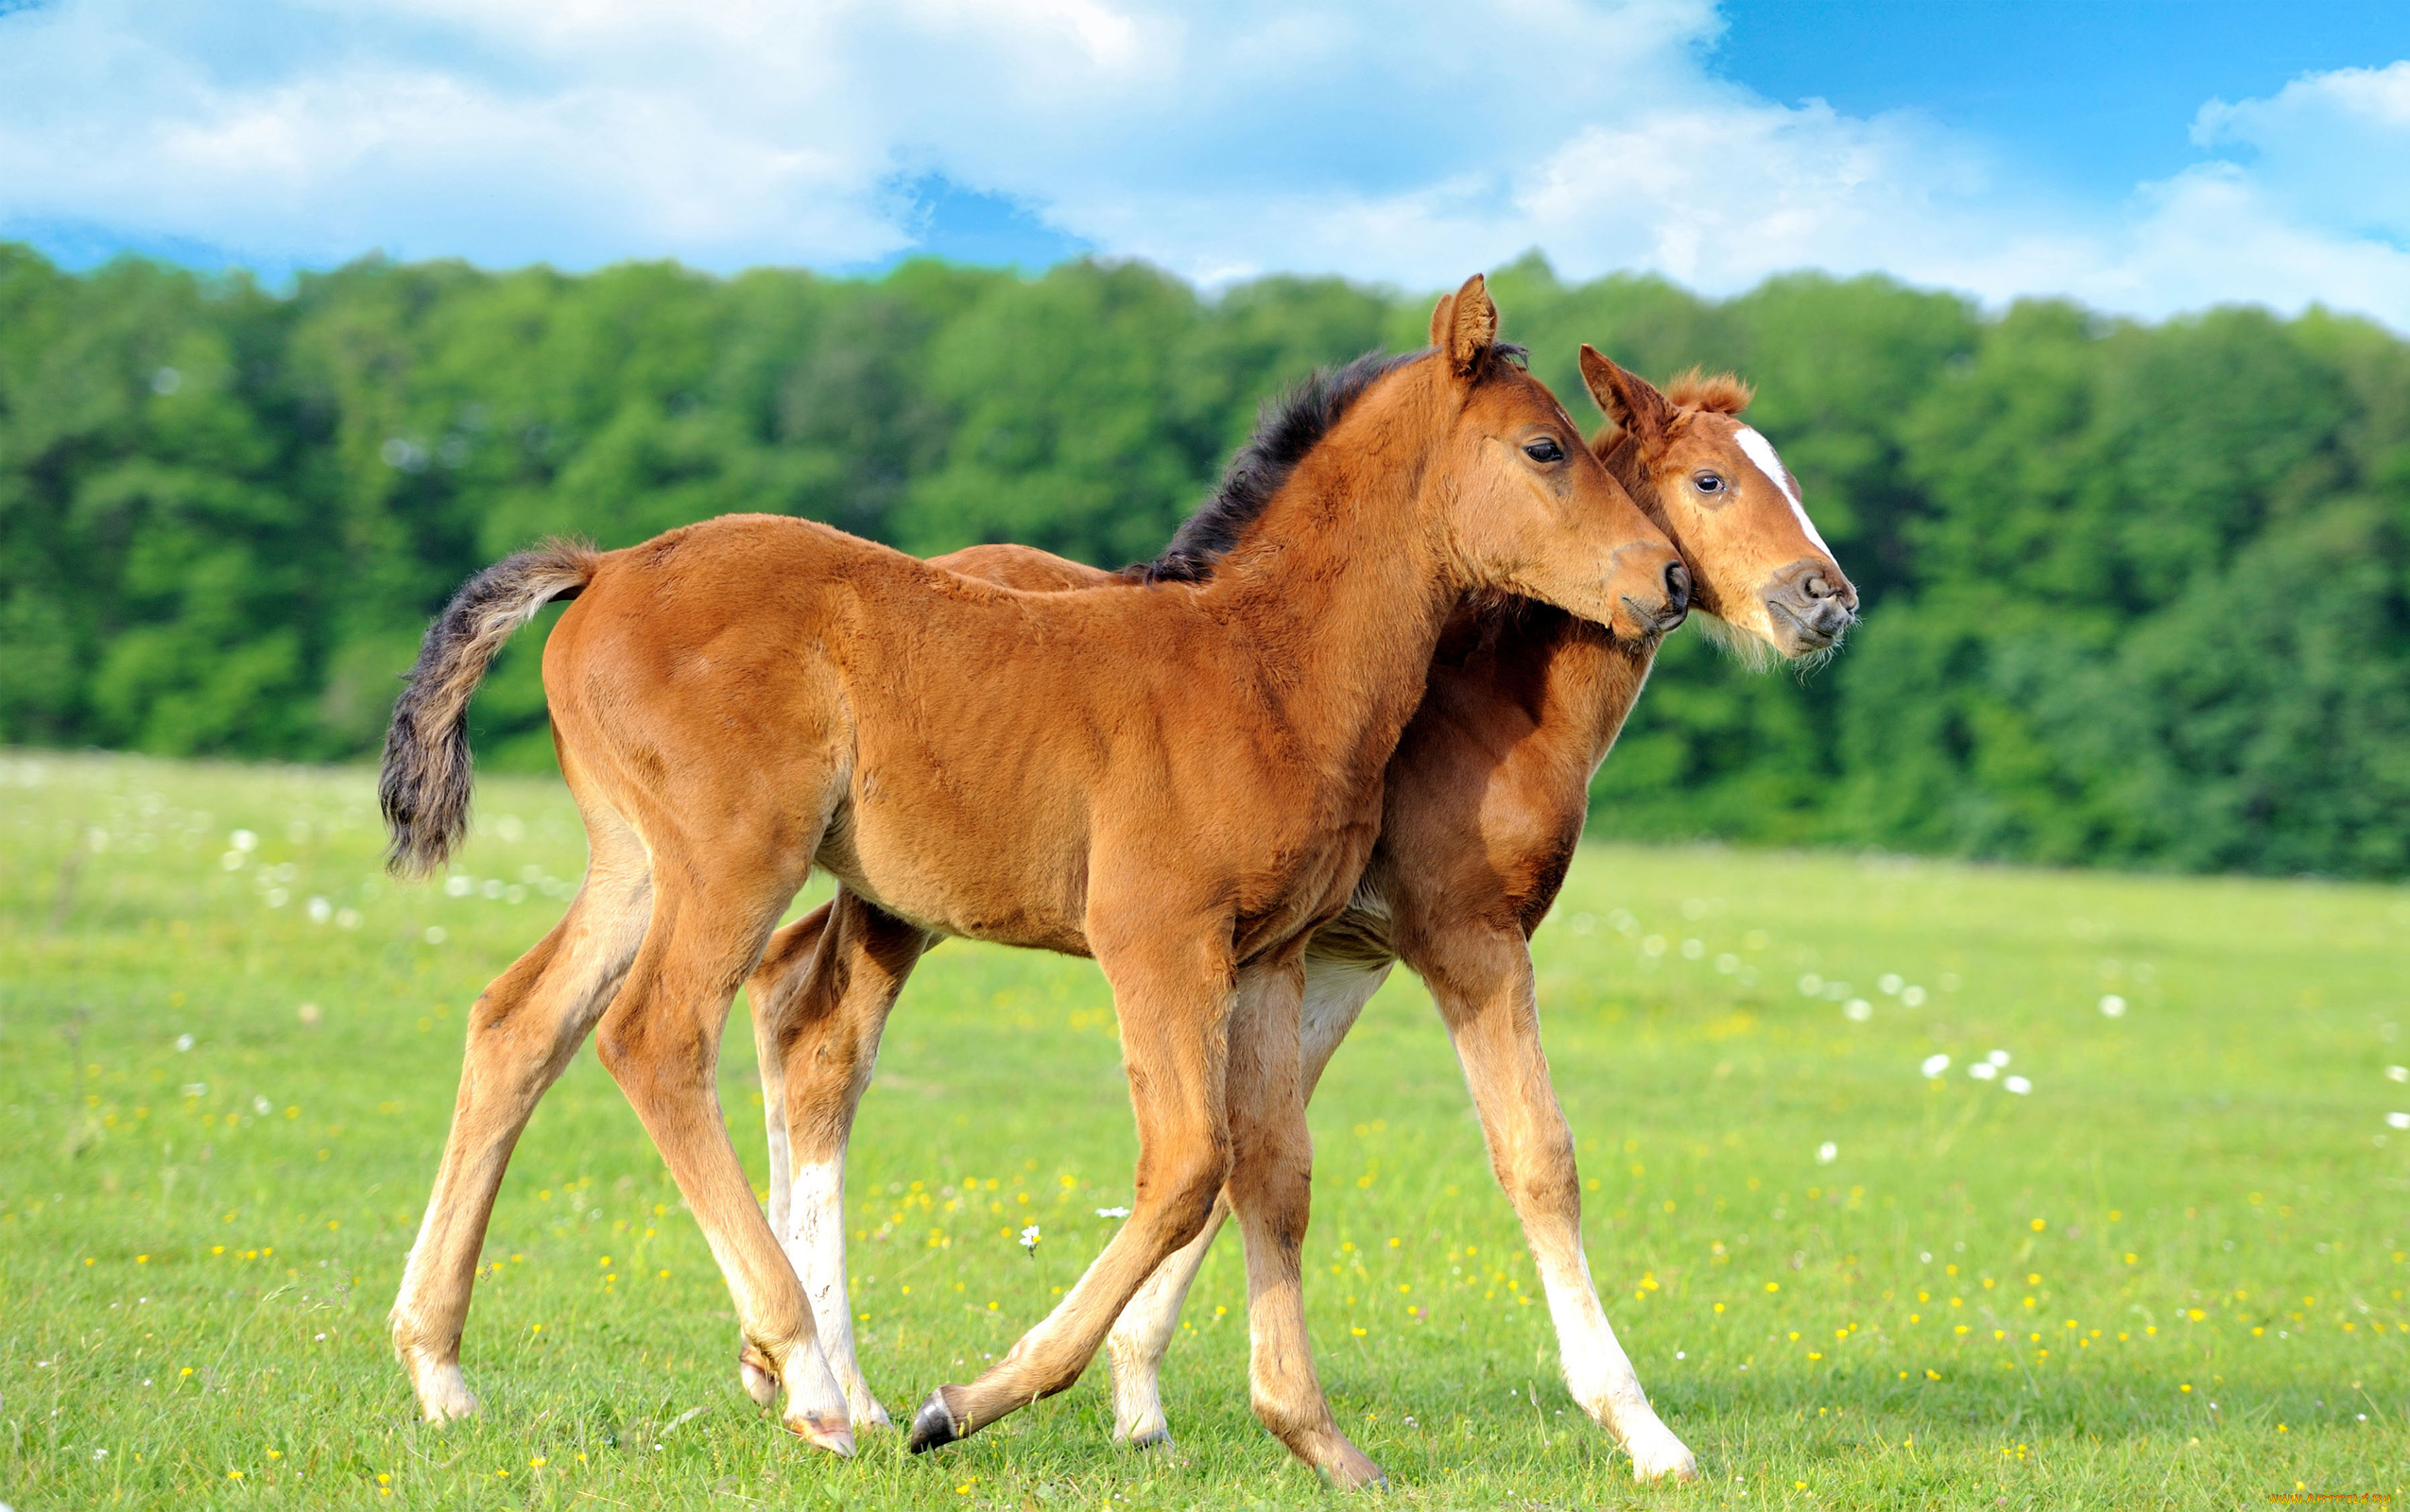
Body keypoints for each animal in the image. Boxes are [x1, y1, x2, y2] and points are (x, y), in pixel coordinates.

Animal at [376, 275, 1688, 1484]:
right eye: (1545, 448)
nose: (1669, 578)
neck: (1266, 666)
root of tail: (602, 566)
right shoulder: (1156, 935)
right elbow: (1188, 1162)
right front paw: (962, 1403)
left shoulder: (1269, 953)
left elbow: (1274, 1171)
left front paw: (1320, 1441)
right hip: (733, 858)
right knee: (653, 1037)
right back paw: (811, 1384)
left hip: (635, 862)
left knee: (519, 1026)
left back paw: (440, 1370)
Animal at [739, 346, 1856, 1483]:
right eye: (1711, 481)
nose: (1827, 599)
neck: (1478, 704)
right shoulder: (1467, 938)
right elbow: (1536, 1158)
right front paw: (1644, 1431)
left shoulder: (1334, 958)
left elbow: (1251, 1155)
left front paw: (1141, 1399)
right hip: (903, 900)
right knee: (828, 1045)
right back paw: (847, 1390)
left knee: (785, 995)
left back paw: (779, 1366)